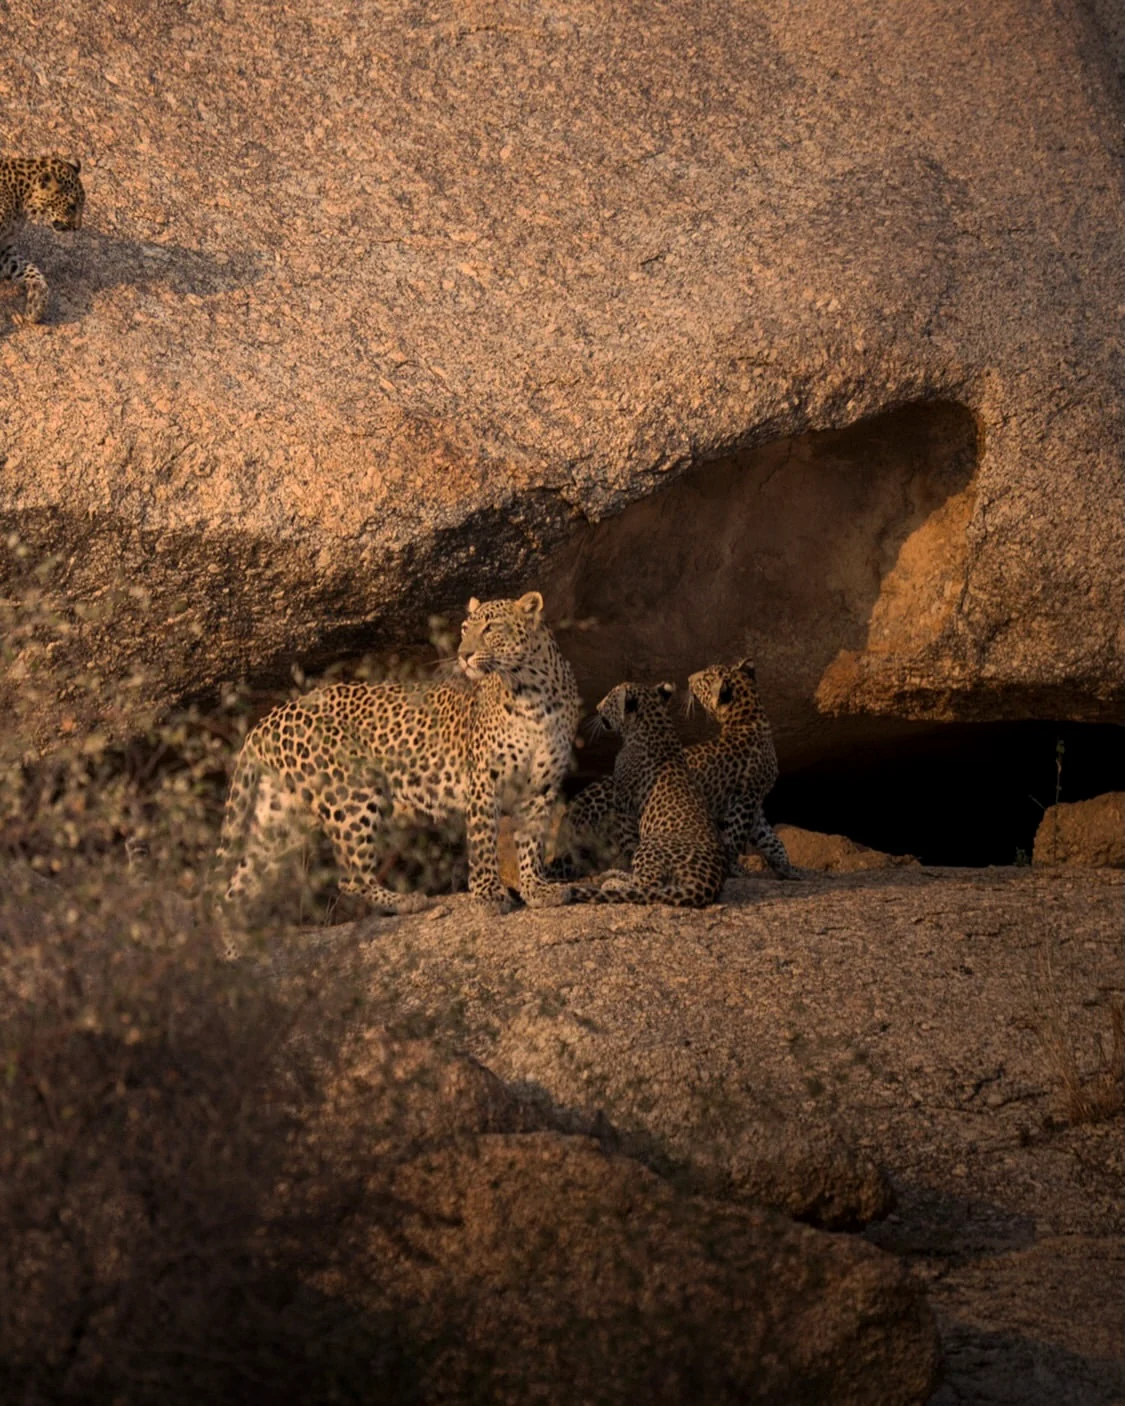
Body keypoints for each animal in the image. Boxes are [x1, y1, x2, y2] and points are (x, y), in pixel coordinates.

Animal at [218, 591, 581, 925]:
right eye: (465, 629)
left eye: (491, 628)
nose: (463, 655)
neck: (532, 694)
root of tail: (267, 719)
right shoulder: (483, 781)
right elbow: (483, 840)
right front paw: (488, 894)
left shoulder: (540, 787)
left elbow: (532, 842)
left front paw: (537, 889)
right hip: (352, 793)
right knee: (350, 879)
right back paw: (407, 901)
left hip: (278, 817)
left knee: (236, 891)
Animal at [551, 657, 797, 881]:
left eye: (705, 678)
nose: (689, 678)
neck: (749, 720)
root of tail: (581, 801)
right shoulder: (744, 800)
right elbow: (735, 837)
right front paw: (735, 869)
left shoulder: (754, 804)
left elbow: (770, 839)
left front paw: (786, 867)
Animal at [569, 682, 725, 908]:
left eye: (609, 700)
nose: (597, 707)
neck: (656, 726)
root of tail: (709, 880)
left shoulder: (623, 807)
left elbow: (628, 842)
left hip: (650, 844)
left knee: (649, 885)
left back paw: (612, 881)